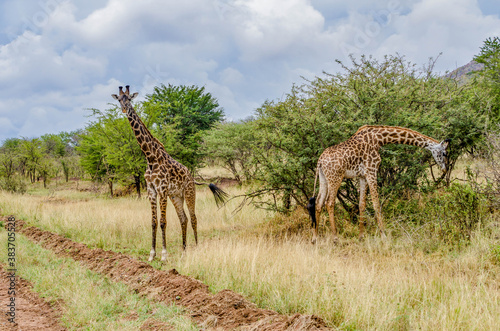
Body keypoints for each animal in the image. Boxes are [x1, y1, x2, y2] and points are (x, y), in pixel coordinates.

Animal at [112, 85, 228, 262]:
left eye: (130, 99)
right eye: (119, 99)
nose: (125, 109)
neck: (150, 157)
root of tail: (192, 177)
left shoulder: (162, 189)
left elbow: (162, 222)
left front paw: (164, 255)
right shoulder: (151, 190)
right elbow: (153, 222)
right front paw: (152, 254)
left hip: (189, 192)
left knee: (193, 217)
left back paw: (196, 247)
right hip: (176, 195)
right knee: (183, 218)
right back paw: (184, 249)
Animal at [306, 124, 452, 244]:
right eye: (444, 153)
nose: (445, 169)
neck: (379, 139)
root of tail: (320, 161)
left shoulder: (362, 176)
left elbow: (362, 204)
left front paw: (361, 236)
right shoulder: (372, 170)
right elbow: (376, 204)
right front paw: (383, 235)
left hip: (324, 178)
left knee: (318, 203)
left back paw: (315, 238)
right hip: (335, 177)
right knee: (329, 203)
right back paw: (335, 238)